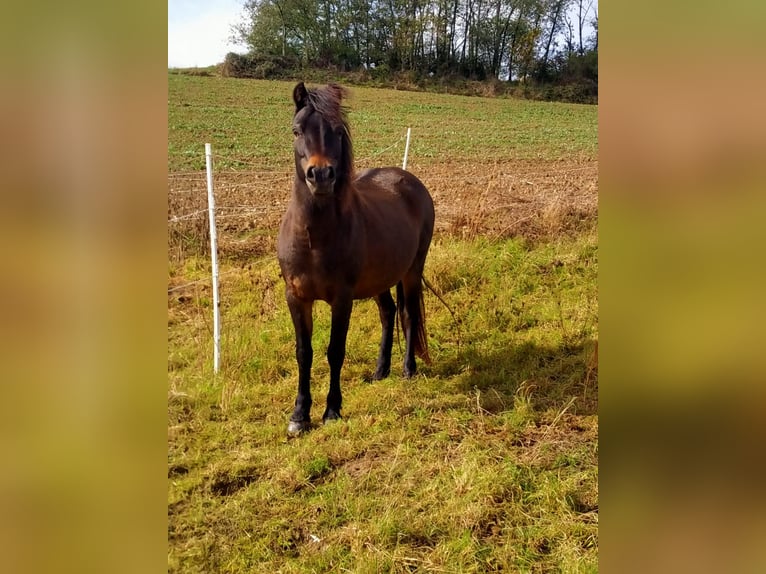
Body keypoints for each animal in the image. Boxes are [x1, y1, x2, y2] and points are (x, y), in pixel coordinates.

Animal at [278, 83, 436, 436]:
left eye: (338, 131)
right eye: (296, 130)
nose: (321, 175)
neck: (314, 237)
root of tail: (410, 180)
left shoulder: (342, 298)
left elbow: (335, 350)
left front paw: (332, 410)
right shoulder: (296, 297)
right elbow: (303, 352)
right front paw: (299, 416)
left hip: (412, 270)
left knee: (408, 314)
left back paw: (407, 369)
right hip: (381, 278)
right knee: (388, 312)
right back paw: (380, 371)